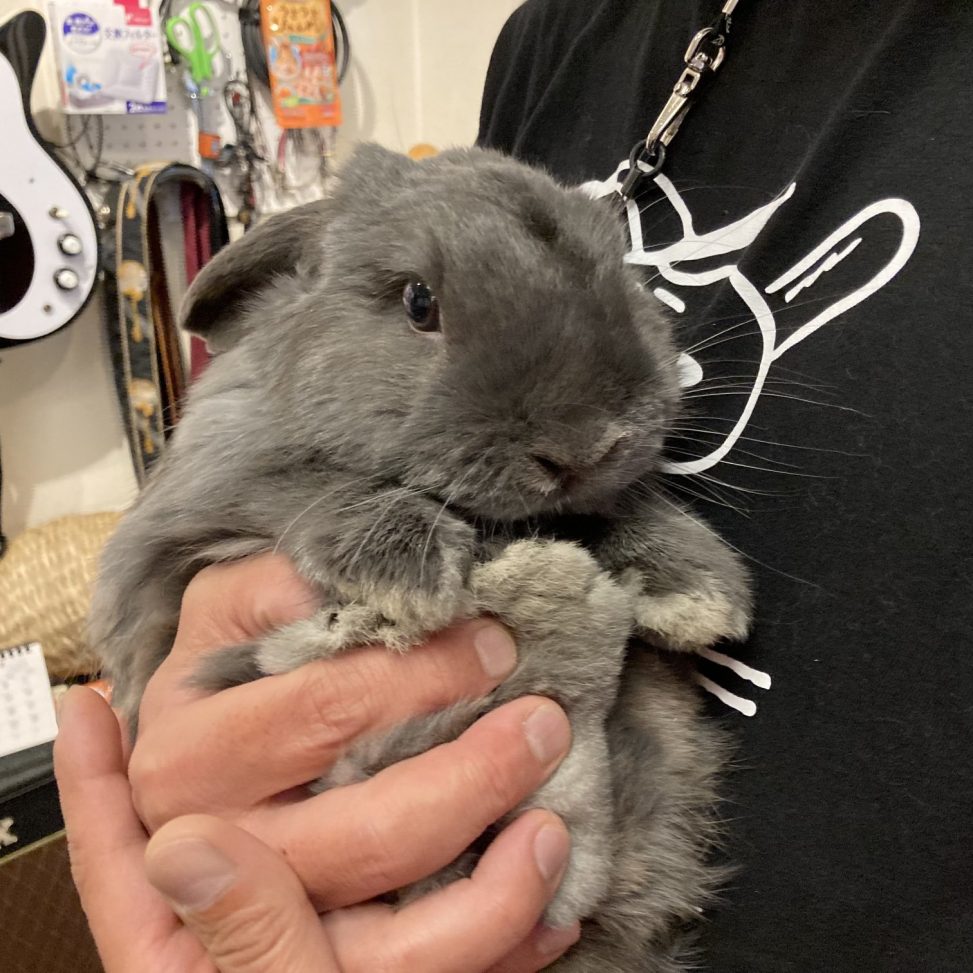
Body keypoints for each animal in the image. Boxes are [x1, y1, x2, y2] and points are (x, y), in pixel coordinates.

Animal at [91, 143, 752, 971]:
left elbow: (621, 508)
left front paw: (698, 589)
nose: (586, 444)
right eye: (417, 301)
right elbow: (307, 488)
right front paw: (413, 569)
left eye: (623, 284)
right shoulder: (199, 501)